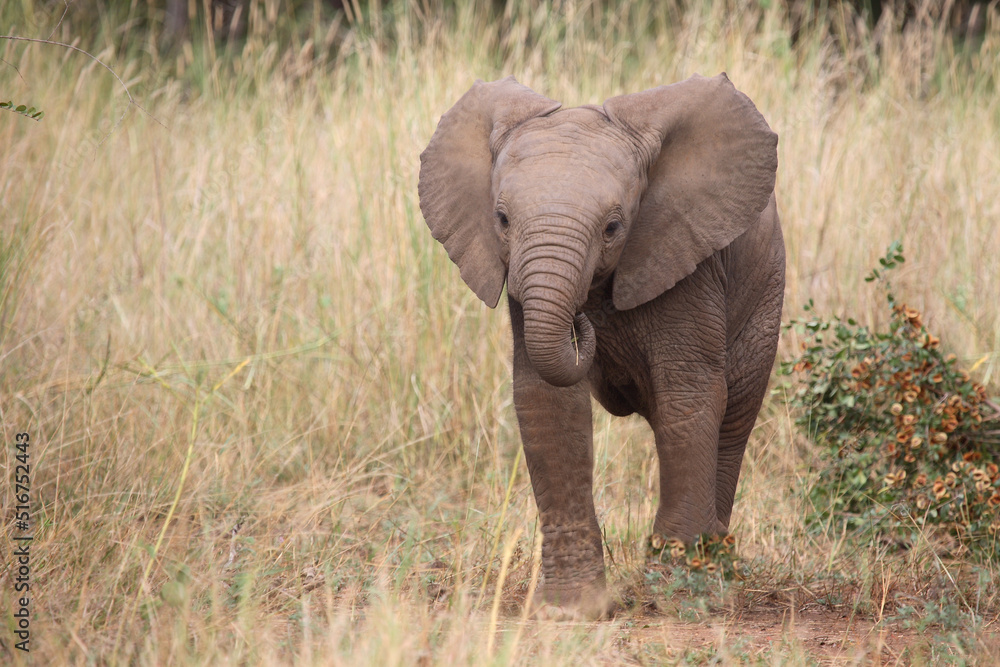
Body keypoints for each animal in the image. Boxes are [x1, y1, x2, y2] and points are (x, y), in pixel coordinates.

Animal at [418, 74, 784, 618]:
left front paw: (675, 599)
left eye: (613, 227)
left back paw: (718, 581)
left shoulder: (688, 261)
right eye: (501, 220)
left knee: (734, 418)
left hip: (765, 299)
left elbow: (687, 400)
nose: (580, 321)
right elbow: (547, 404)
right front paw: (571, 609)